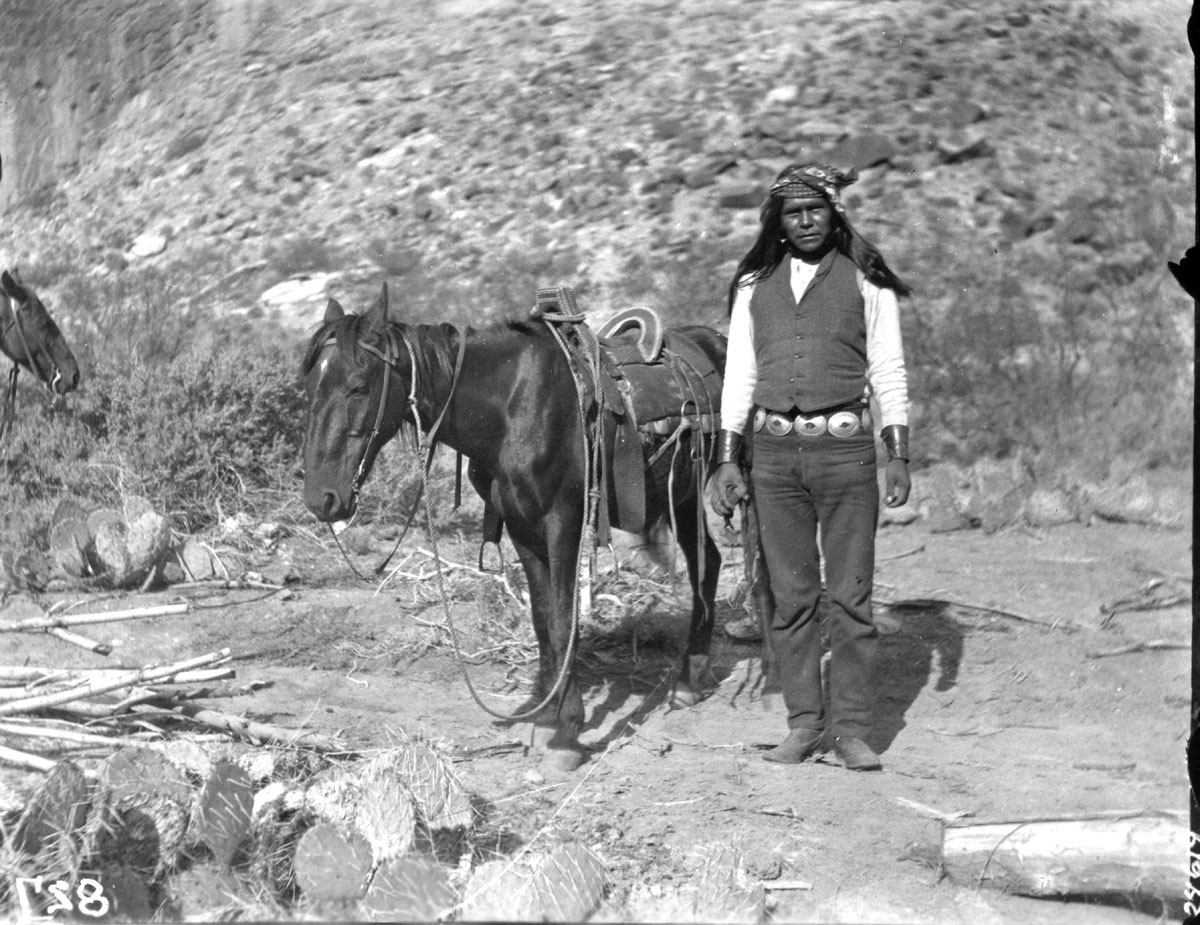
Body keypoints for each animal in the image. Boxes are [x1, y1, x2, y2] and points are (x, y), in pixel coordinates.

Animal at [302, 285, 748, 772]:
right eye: (310, 388)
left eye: (358, 387)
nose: (321, 498)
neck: (512, 408)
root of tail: (717, 341)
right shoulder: (521, 528)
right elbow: (540, 619)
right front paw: (544, 720)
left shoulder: (563, 523)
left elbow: (563, 621)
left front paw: (566, 735)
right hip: (682, 496)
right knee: (709, 562)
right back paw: (693, 677)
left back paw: (695, 677)